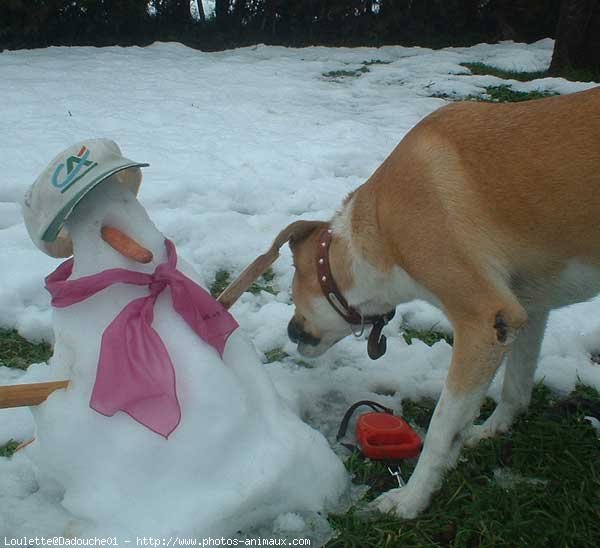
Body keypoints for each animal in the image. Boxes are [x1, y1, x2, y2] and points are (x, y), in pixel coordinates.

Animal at [219, 85, 600, 520]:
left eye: (294, 288)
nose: (291, 330)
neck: (381, 231)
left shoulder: (484, 321)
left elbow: (439, 430)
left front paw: (411, 499)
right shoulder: (525, 310)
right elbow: (515, 389)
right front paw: (489, 431)